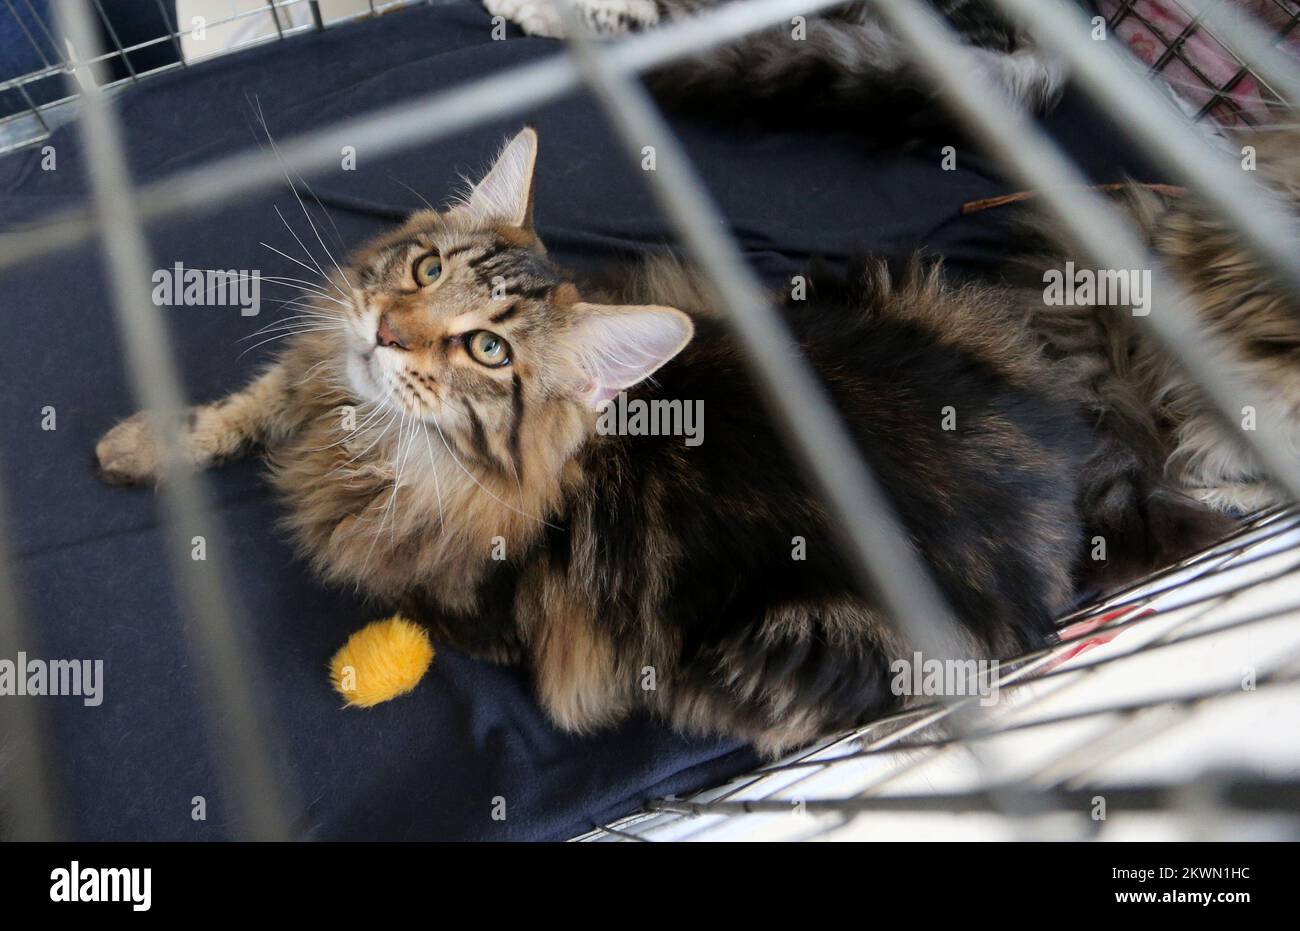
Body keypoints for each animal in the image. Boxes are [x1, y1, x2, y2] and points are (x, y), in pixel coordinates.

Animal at [98, 127, 1289, 754]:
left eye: (487, 349)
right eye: (427, 269)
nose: (387, 330)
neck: (380, 443)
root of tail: (1065, 491)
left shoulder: (483, 613)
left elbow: (395, 599)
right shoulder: (309, 378)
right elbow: (243, 406)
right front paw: (142, 443)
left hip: (778, 650)